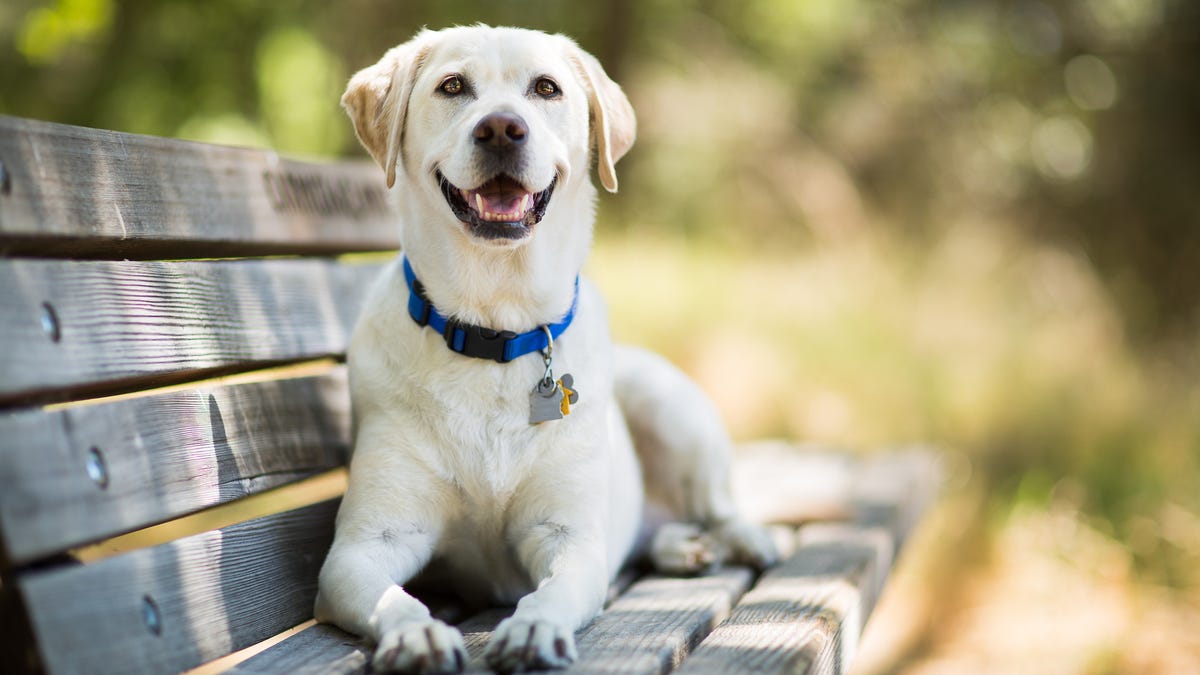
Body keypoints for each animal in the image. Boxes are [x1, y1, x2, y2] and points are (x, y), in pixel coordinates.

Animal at [314, 23, 772, 667]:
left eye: (546, 88)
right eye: (452, 86)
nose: (501, 128)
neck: (494, 328)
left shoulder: (569, 537)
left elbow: (552, 590)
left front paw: (533, 628)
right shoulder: (361, 547)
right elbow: (391, 597)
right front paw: (415, 633)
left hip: (671, 407)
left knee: (718, 505)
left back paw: (744, 539)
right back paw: (681, 547)